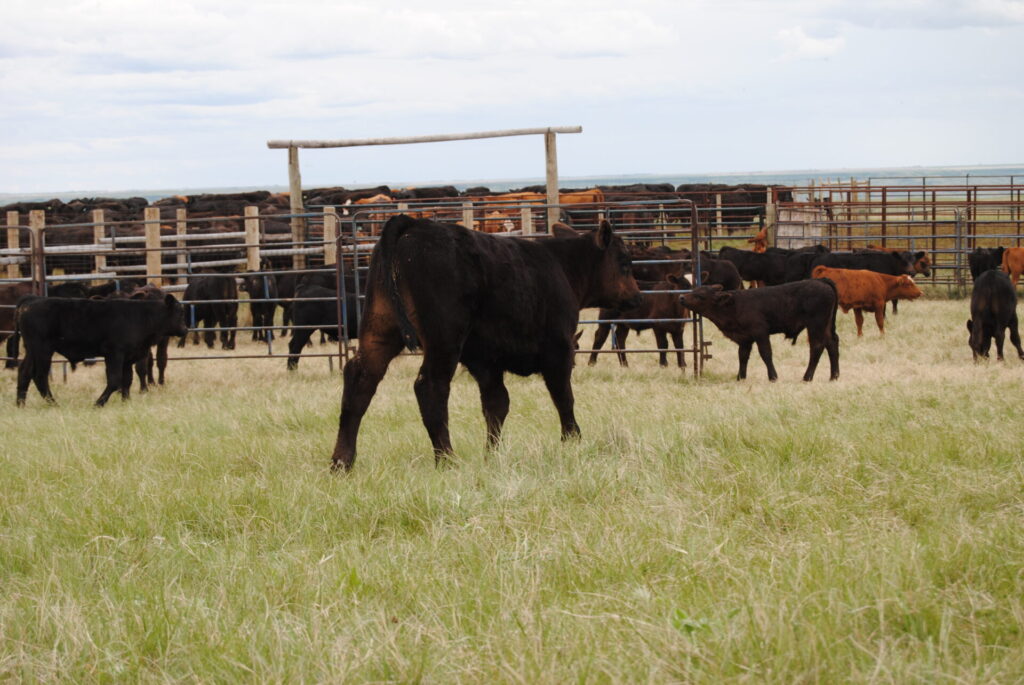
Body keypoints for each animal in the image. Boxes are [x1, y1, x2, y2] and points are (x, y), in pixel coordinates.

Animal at [329, 213, 638, 471]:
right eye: (624, 262)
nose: (636, 296)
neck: (562, 267)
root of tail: (412, 224)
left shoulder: (486, 360)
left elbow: (497, 404)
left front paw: (492, 453)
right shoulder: (558, 349)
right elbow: (563, 397)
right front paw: (573, 440)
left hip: (379, 329)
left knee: (360, 380)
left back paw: (342, 461)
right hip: (444, 339)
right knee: (430, 386)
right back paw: (447, 459)